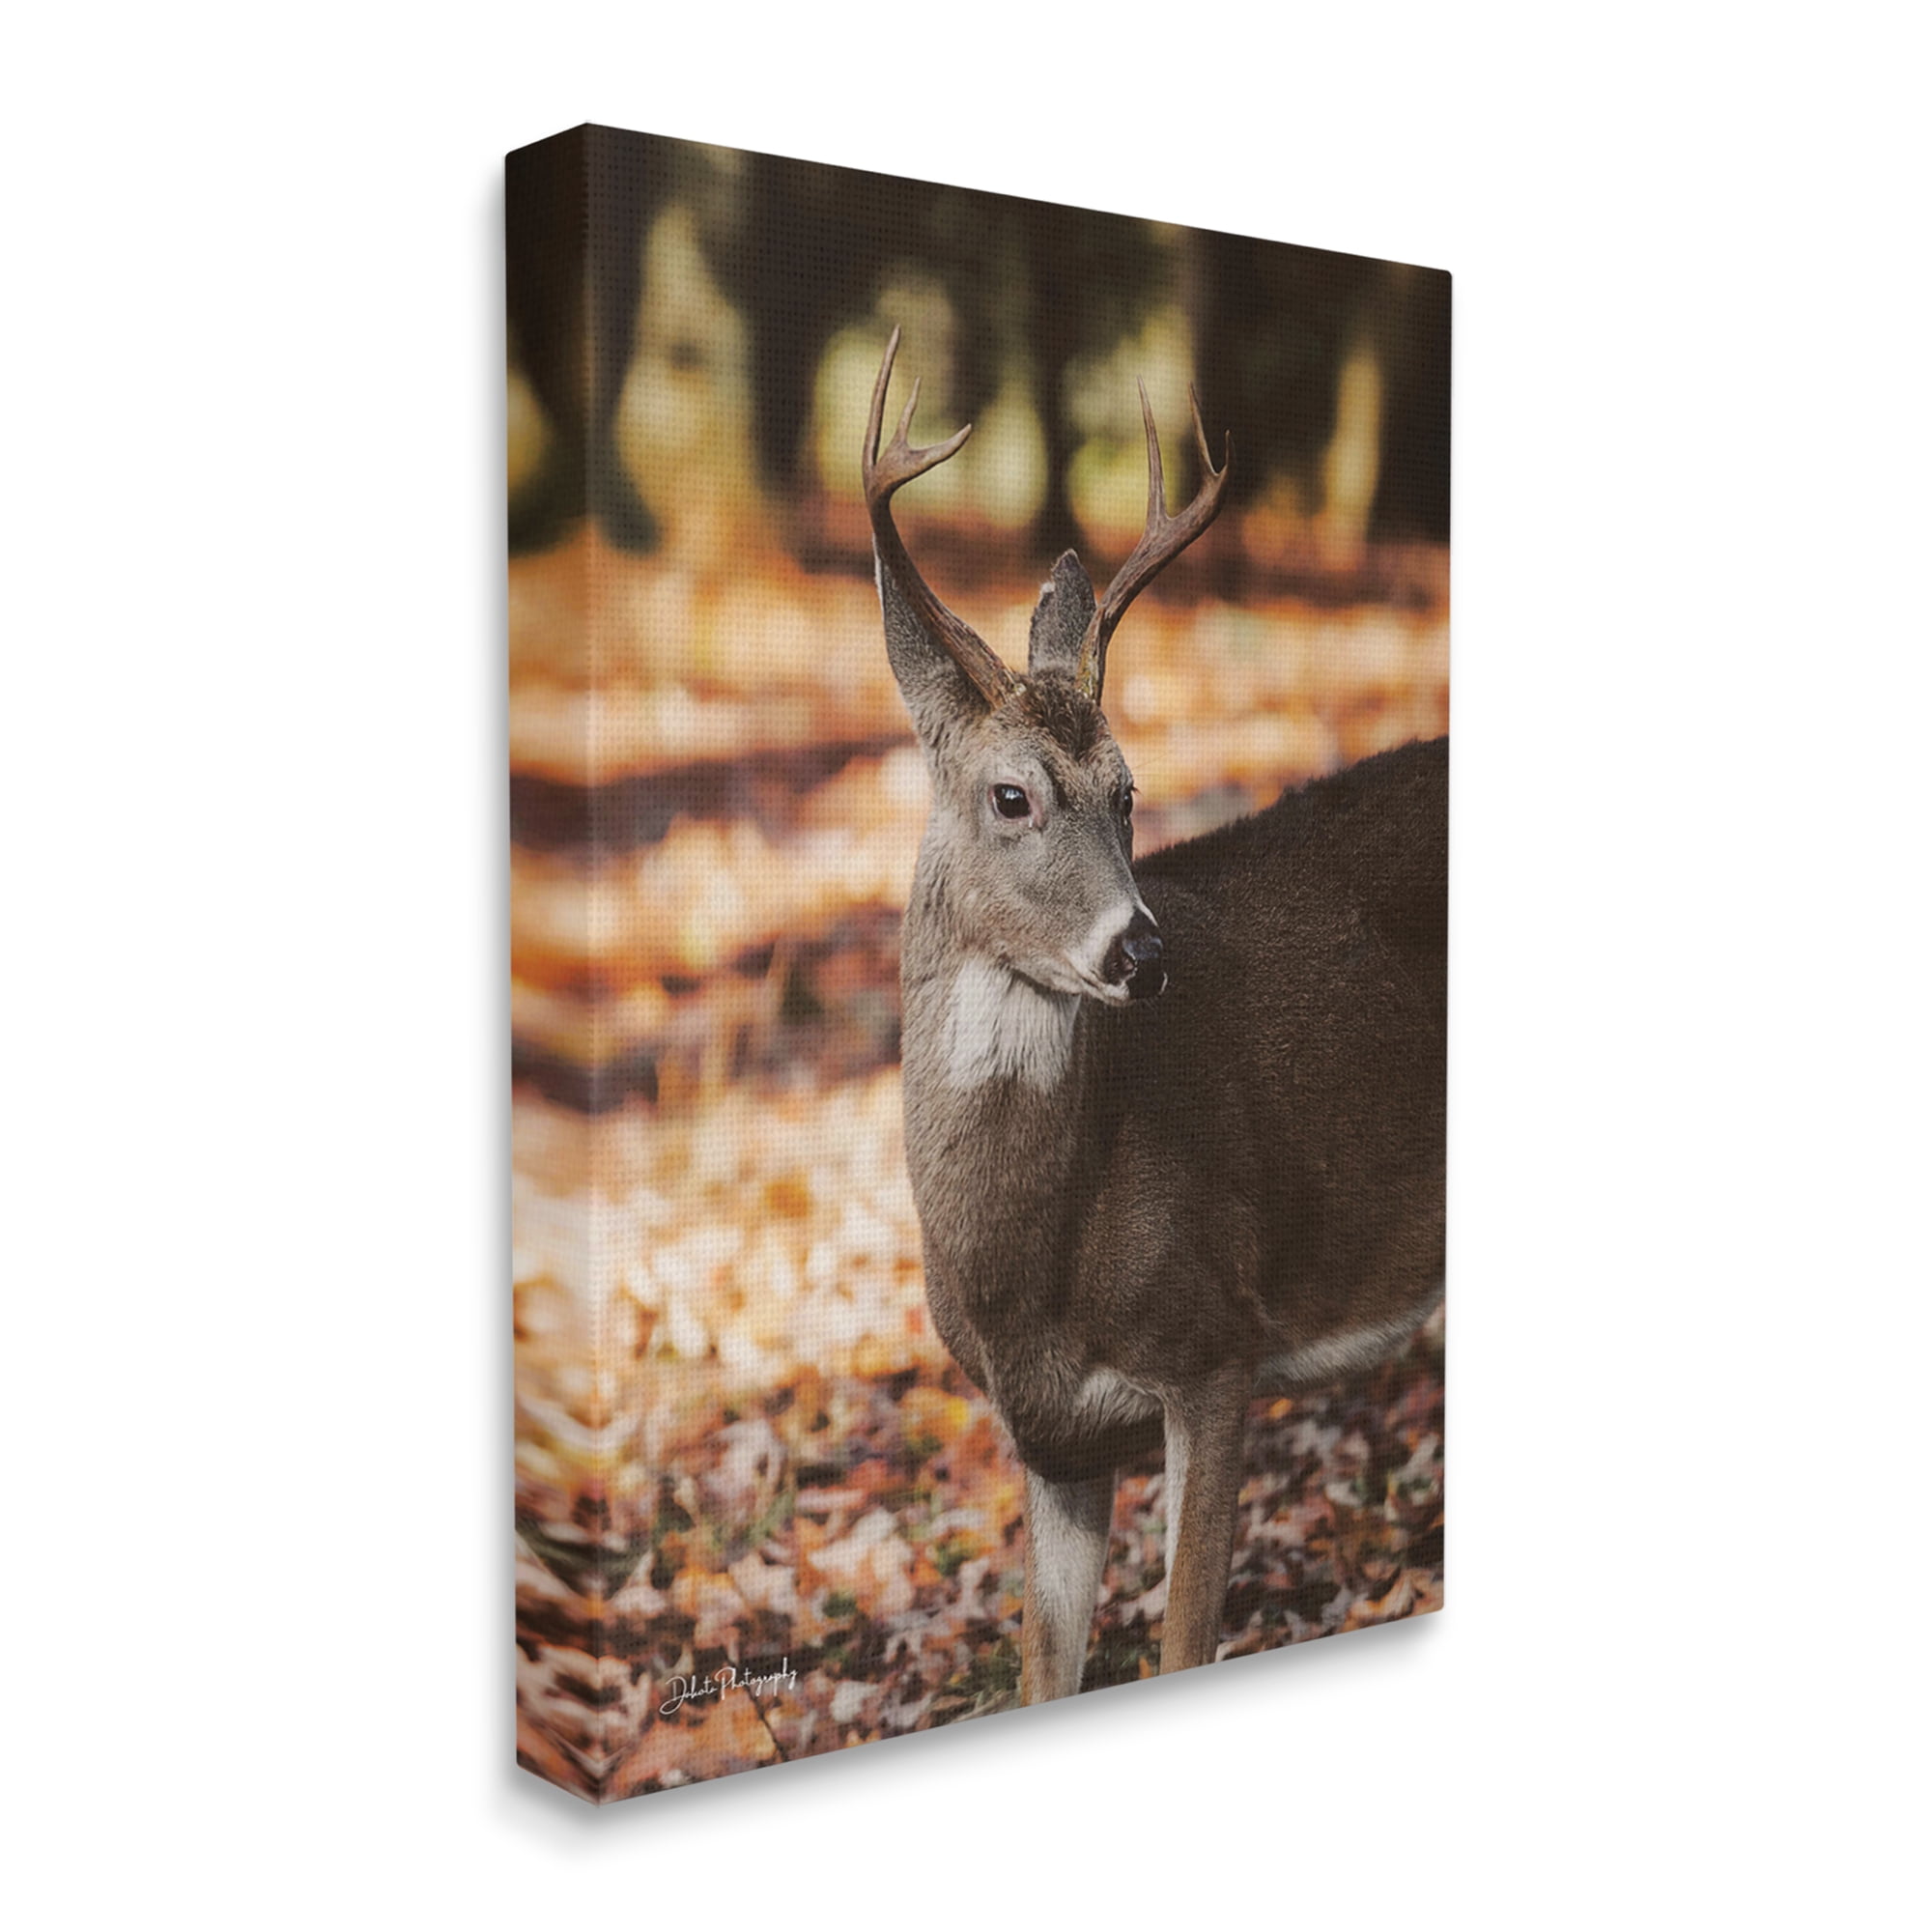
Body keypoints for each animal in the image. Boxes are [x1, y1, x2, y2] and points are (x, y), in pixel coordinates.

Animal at [863, 329, 1447, 1704]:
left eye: (1128, 793)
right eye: (1011, 794)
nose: (1141, 951)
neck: (1030, 1272)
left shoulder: (1215, 1346)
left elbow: (1183, 1639)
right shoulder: (1051, 1440)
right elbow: (1046, 1670)